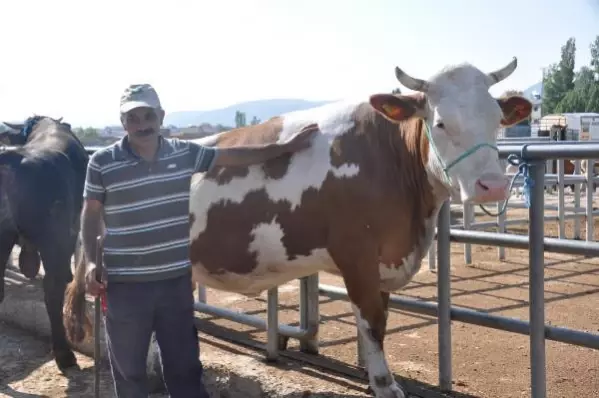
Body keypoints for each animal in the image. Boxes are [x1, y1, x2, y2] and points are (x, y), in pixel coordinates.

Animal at [189, 57, 536, 396]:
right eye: (440, 123)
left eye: (496, 120)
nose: (492, 186)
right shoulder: (356, 255)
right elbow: (372, 320)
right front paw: (384, 383)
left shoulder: (384, 260)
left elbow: (381, 318)